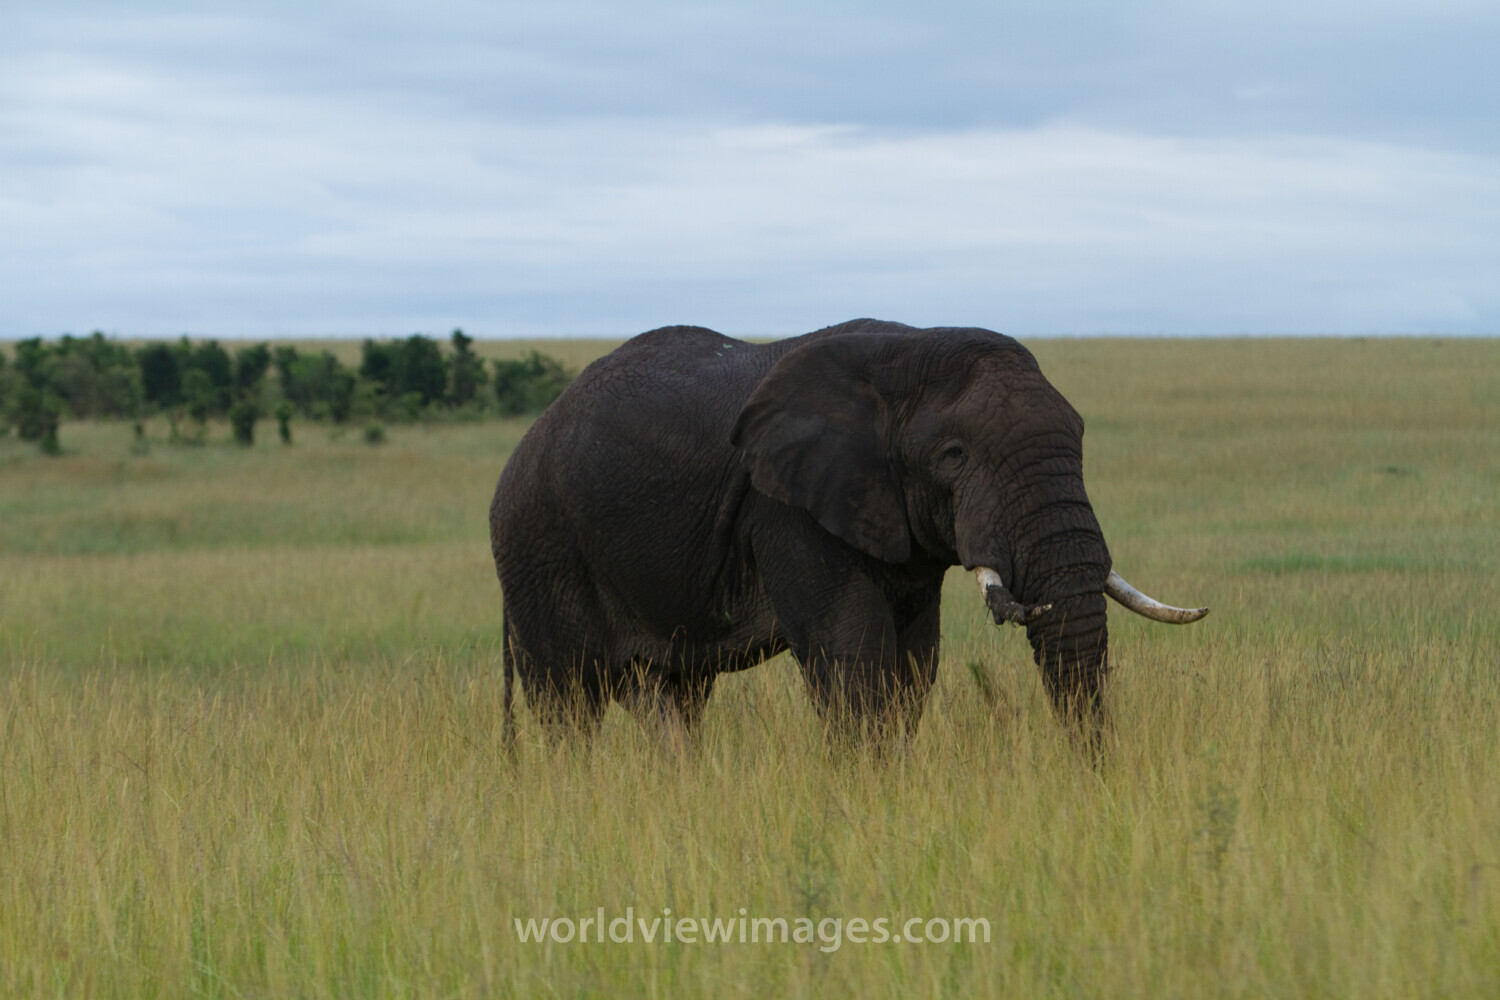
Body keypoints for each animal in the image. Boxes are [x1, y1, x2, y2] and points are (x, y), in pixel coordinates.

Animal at [489, 319, 1206, 747]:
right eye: (955, 455)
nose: (1094, 778)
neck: (908, 352)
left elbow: (912, 663)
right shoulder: (787, 508)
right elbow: (851, 652)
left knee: (673, 698)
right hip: (539, 545)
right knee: (567, 705)